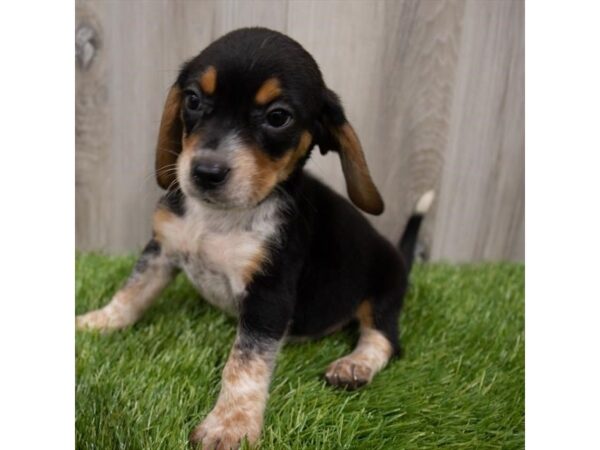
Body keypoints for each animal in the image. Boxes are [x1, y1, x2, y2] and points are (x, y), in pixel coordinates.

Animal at [77, 29, 436, 450]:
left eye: (278, 117)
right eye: (193, 99)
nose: (206, 171)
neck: (220, 217)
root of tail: (400, 257)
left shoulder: (269, 294)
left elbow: (245, 364)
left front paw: (230, 424)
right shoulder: (161, 249)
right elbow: (131, 293)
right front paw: (97, 322)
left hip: (382, 294)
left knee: (383, 339)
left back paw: (354, 365)